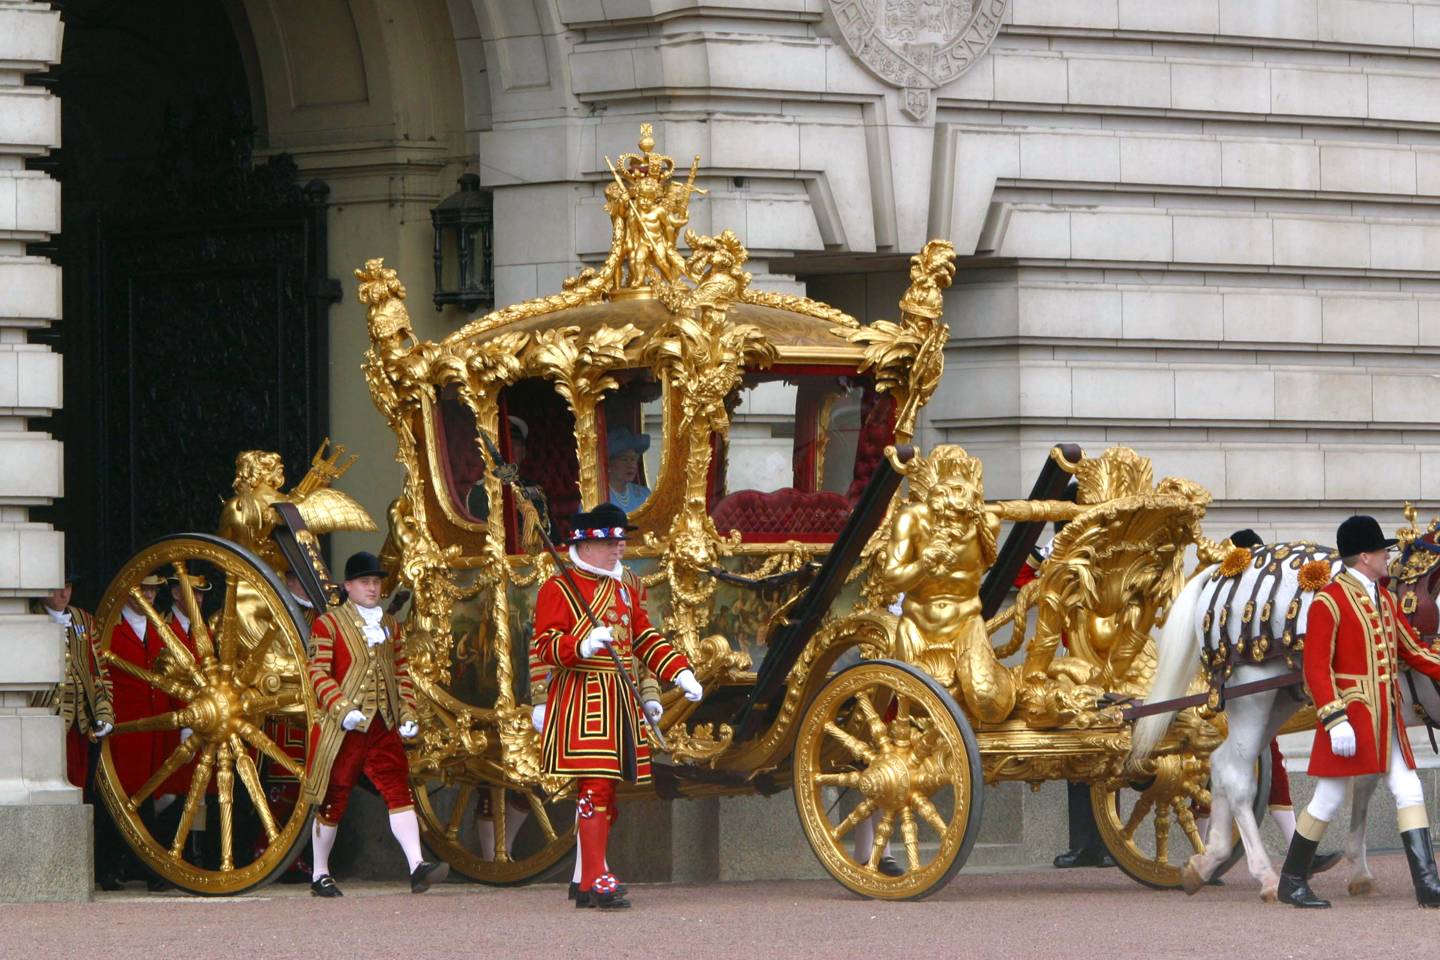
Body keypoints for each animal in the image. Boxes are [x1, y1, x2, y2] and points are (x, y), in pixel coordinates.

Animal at [1123, 546, 1440, 903]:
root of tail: (1224, 565)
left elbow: (1368, 777)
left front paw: (1360, 870)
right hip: (1253, 695)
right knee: (1235, 774)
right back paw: (1266, 876)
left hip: (1278, 700)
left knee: (1223, 763)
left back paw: (1209, 860)